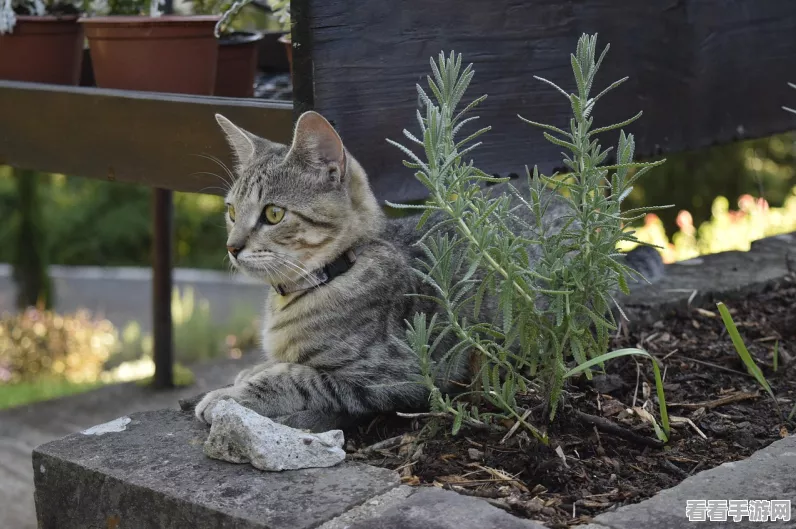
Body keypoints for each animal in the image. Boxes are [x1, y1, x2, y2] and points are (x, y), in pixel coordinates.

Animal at [194, 110, 664, 428]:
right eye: (232, 211)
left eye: (273, 214)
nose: (232, 247)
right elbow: (275, 366)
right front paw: (248, 372)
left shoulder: (398, 374)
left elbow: (297, 377)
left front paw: (227, 395)